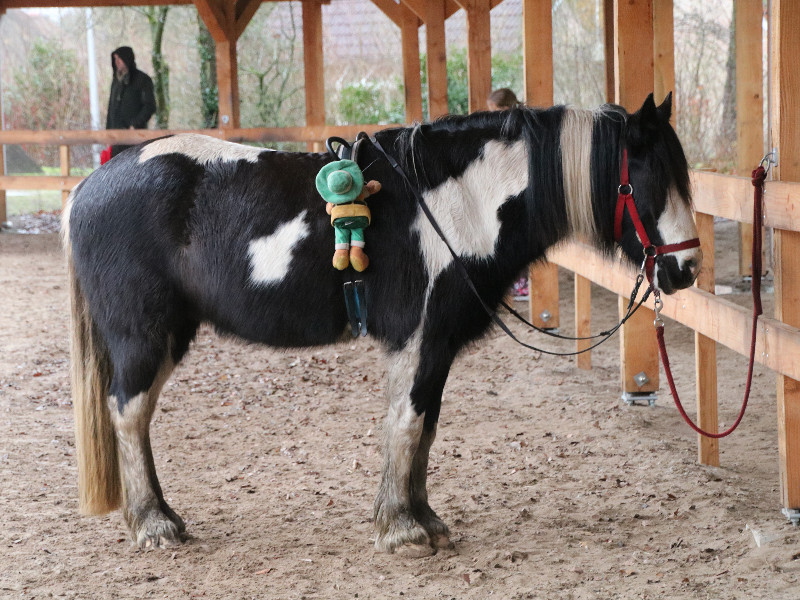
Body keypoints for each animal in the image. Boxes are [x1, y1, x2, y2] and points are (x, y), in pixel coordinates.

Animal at [62, 91, 700, 556]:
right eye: (645, 180)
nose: (687, 268)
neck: (456, 203)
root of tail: (90, 189)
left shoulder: (435, 346)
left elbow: (425, 428)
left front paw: (422, 518)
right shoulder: (418, 339)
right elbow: (408, 424)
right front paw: (402, 529)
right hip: (144, 336)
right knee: (128, 413)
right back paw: (154, 523)